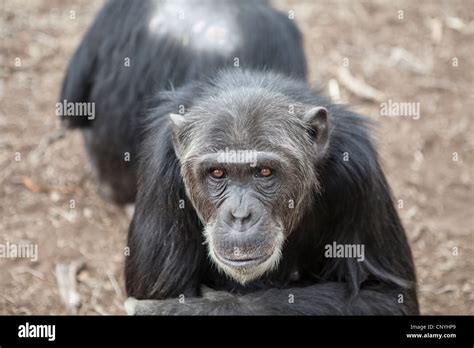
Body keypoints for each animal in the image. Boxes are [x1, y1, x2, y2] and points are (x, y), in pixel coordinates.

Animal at [125, 70, 418, 316]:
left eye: (264, 172)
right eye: (217, 173)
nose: (240, 215)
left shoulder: (359, 170)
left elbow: (386, 295)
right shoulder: (160, 169)